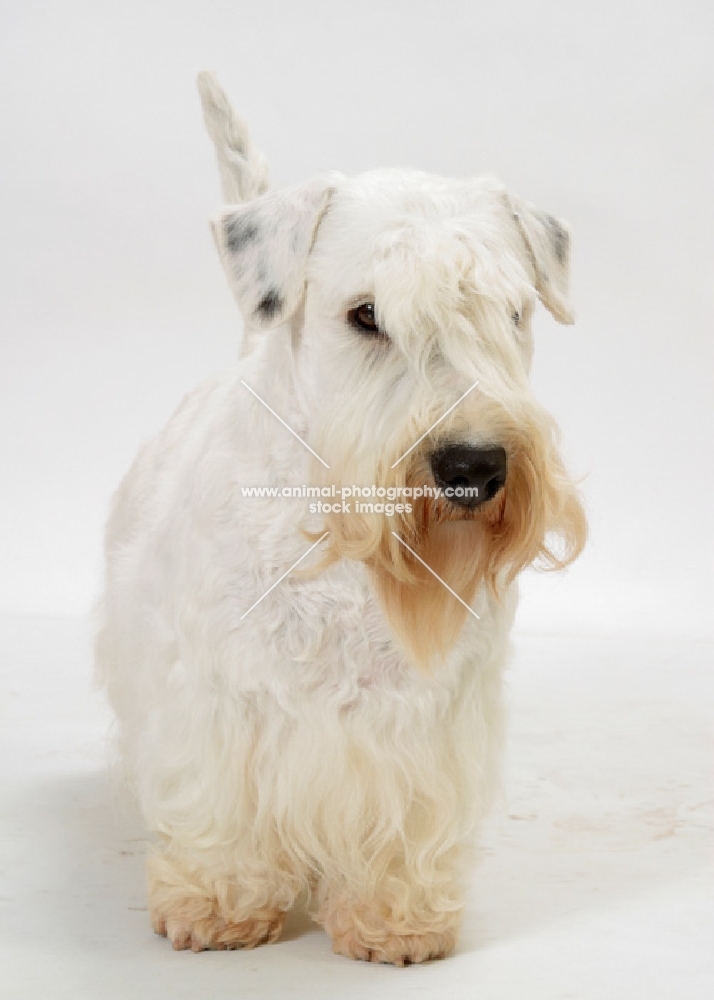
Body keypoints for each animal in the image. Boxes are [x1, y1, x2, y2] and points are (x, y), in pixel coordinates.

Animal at [94, 74, 584, 964]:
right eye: (366, 314)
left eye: (511, 311)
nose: (473, 466)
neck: (341, 547)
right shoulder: (214, 702)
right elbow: (220, 813)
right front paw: (217, 904)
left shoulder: (429, 718)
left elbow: (406, 825)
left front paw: (398, 919)